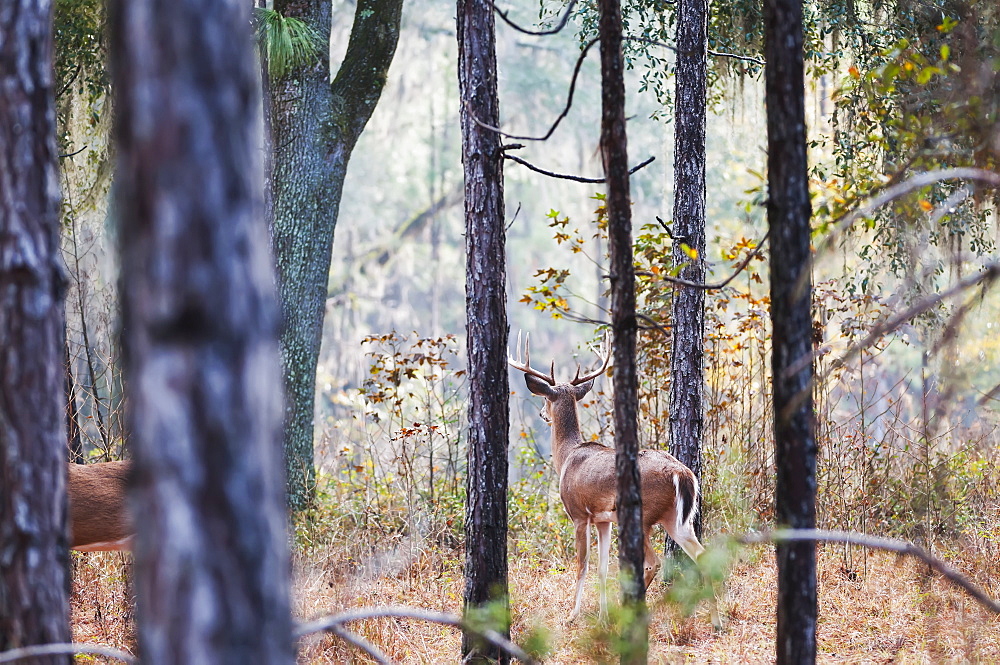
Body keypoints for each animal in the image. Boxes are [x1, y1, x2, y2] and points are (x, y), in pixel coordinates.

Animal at [512, 334, 708, 620]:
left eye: (546, 399)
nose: (541, 414)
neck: (567, 455)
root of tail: (681, 473)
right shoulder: (604, 520)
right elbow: (602, 568)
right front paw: (602, 615)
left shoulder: (579, 514)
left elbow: (582, 565)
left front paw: (573, 614)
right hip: (677, 518)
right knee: (702, 555)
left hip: (644, 514)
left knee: (653, 562)